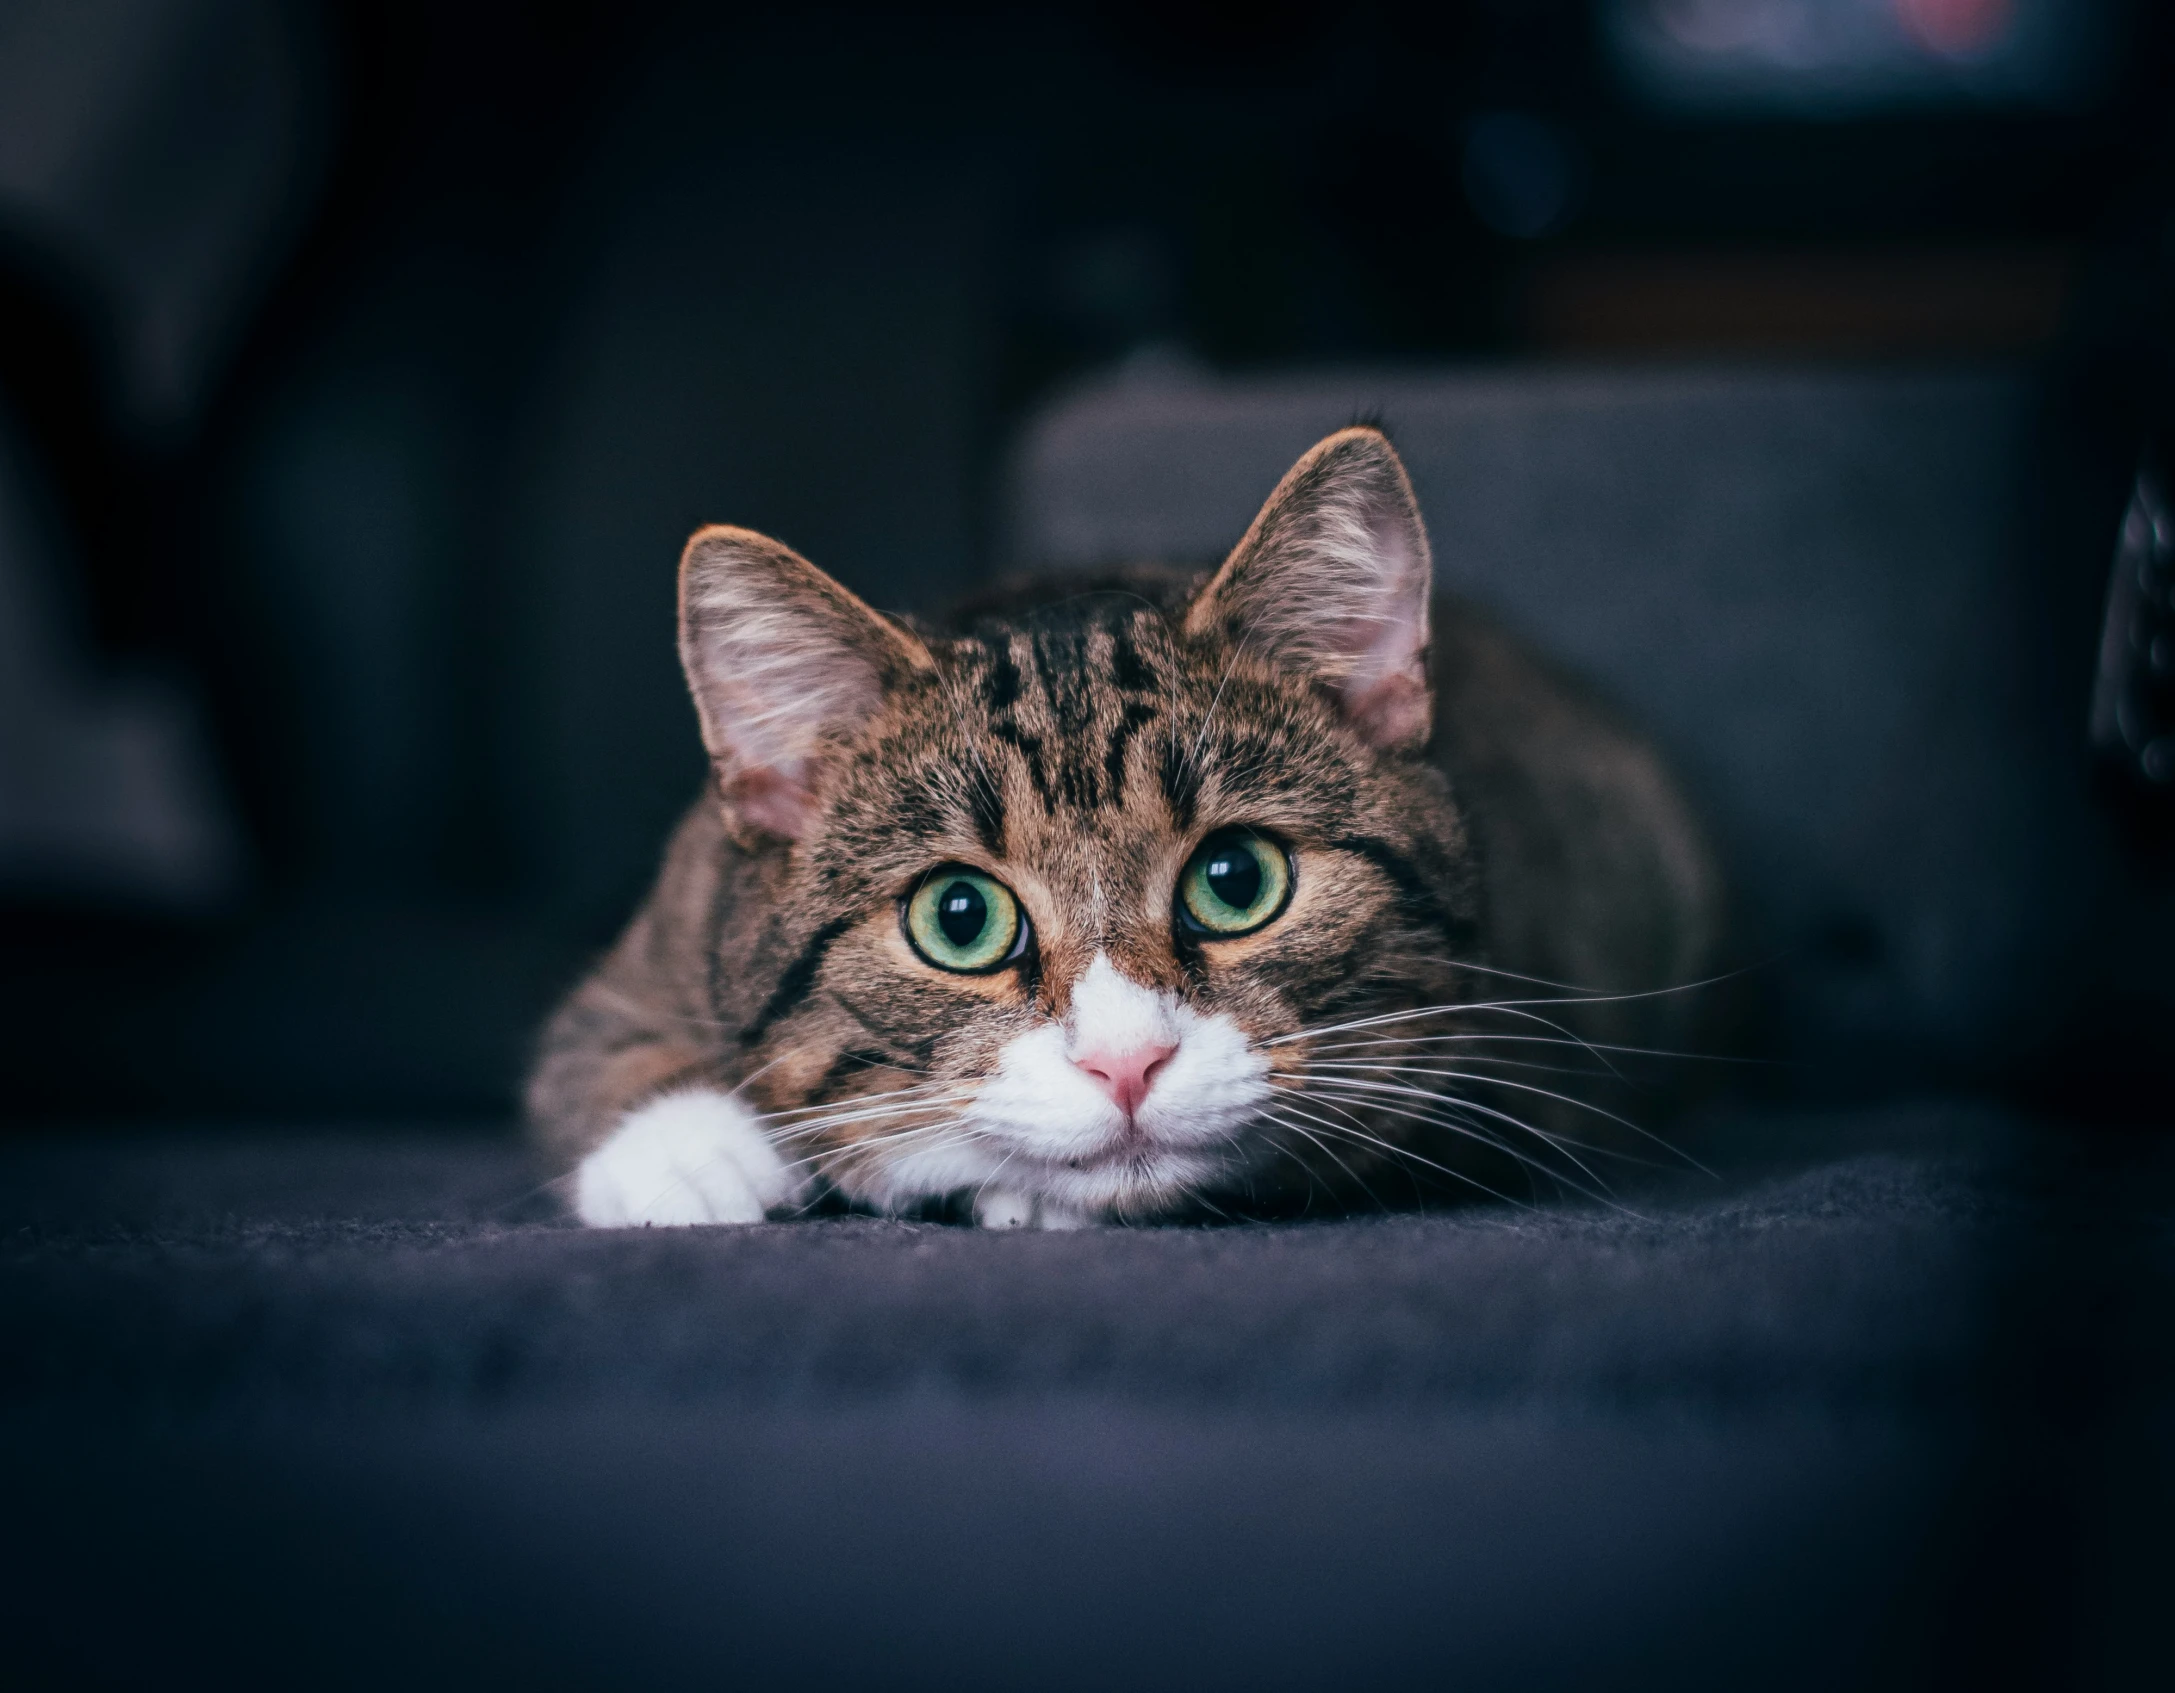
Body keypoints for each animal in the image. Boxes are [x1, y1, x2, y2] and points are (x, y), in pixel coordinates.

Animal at [522, 426, 1713, 1227]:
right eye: (959, 916)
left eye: (1236, 880)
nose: (1126, 1062)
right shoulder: (676, 910)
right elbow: (589, 1043)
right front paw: (691, 1154)